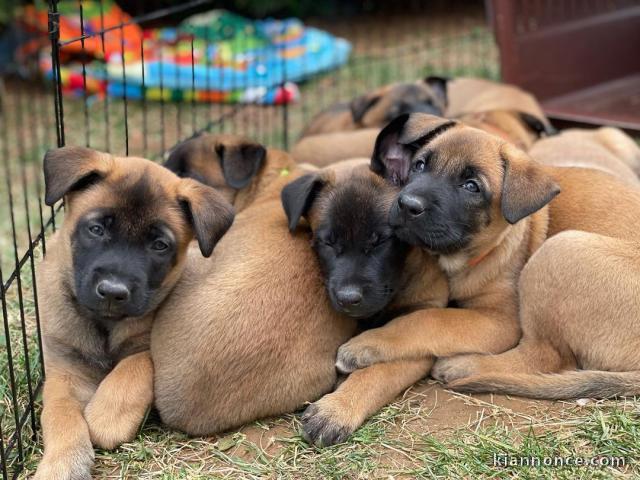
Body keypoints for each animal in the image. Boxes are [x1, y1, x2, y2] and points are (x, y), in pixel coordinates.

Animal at [35, 146, 235, 480]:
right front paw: (61, 463)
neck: (105, 325)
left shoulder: (152, 347)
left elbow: (134, 366)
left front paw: (107, 417)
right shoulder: (65, 371)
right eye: (96, 229)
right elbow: (58, 413)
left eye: (159, 245)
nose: (113, 291)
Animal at [336, 112, 640, 386]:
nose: (407, 205)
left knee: (545, 358)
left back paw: (464, 366)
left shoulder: (501, 319)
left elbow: (428, 319)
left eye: (472, 186)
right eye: (420, 165)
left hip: (558, 250)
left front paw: (366, 344)